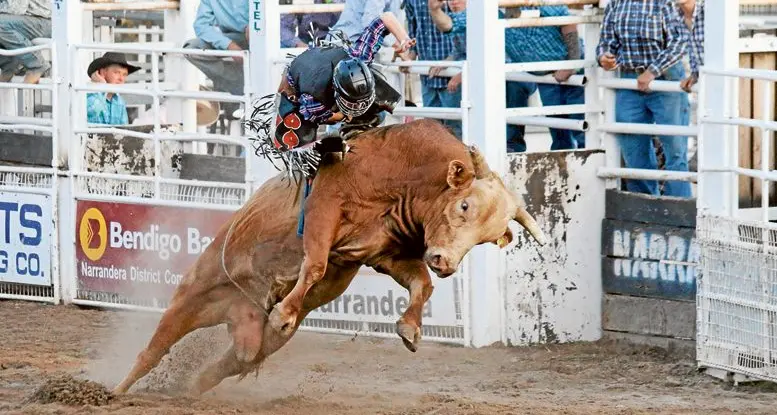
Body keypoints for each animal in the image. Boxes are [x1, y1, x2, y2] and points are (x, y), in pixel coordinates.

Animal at [112, 119, 546, 396]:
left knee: (233, 362)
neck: (403, 174)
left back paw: (189, 389)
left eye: (487, 239)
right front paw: (286, 310)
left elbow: (421, 284)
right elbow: (316, 263)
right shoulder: (325, 207)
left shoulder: (384, 254)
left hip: (257, 341)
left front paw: (410, 329)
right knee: (153, 350)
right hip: (193, 296)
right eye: (464, 205)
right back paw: (117, 391)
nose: (446, 262)